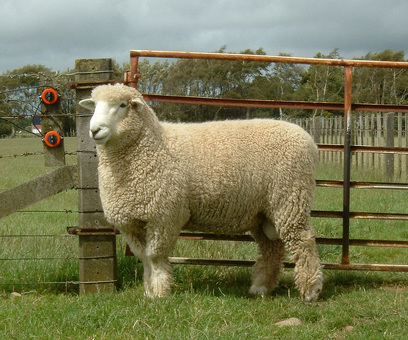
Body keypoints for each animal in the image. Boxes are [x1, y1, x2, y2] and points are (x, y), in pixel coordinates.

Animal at [79, 83, 322, 302]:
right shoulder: (131, 222)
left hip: (290, 198)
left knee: (303, 242)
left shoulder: (164, 216)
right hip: (263, 212)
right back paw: (260, 287)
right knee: (272, 248)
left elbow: (155, 257)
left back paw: (310, 291)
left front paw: (159, 292)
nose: (94, 130)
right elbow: (145, 258)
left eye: (122, 105)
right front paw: (149, 291)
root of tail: (308, 139)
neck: (150, 145)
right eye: (95, 106)